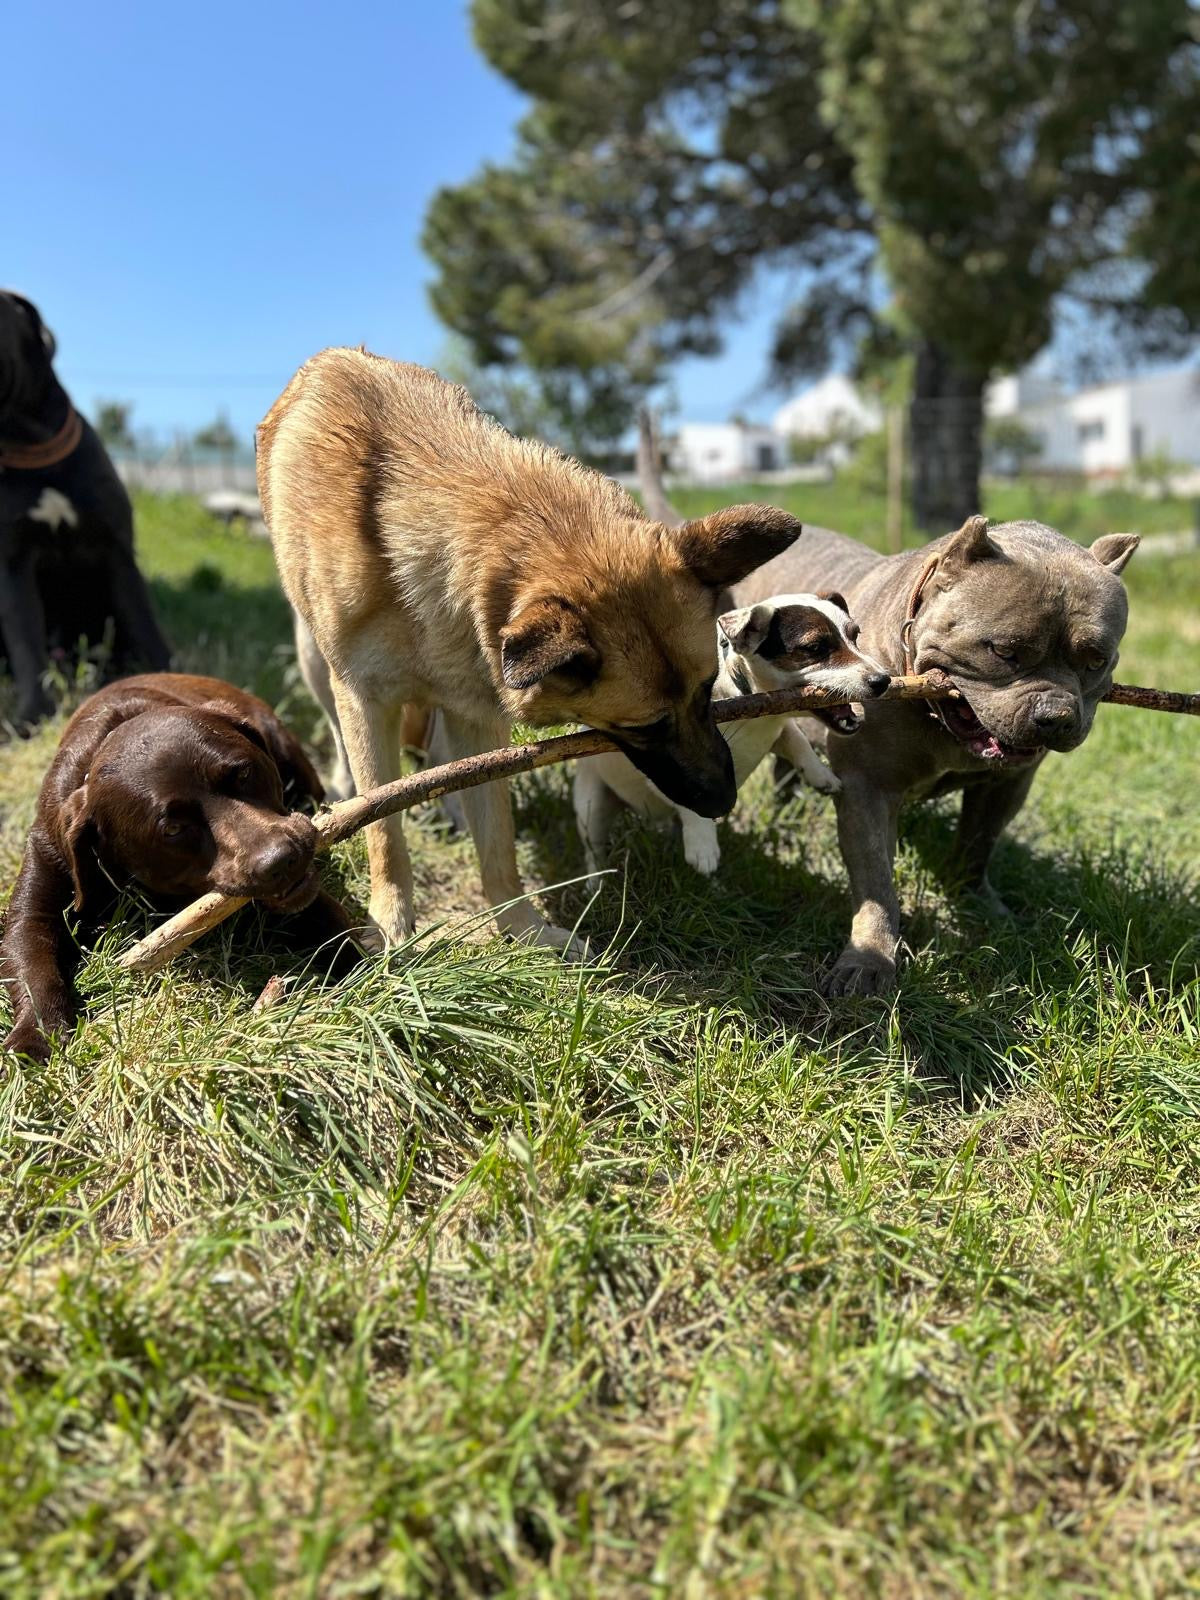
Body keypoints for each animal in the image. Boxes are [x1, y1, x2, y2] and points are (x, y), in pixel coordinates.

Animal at [0, 291, 170, 729]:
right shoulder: (14, 566)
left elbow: (144, 623)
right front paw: (33, 715)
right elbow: (26, 643)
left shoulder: (116, 550)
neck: (29, 446)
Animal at [254, 347, 803, 947]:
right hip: (315, 660)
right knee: (343, 738)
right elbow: (386, 832)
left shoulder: (476, 713)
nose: (723, 802)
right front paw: (391, 924)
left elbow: (498, 843)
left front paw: (524, 930)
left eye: (708, 691)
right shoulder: (366, 701)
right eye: (643, 727)